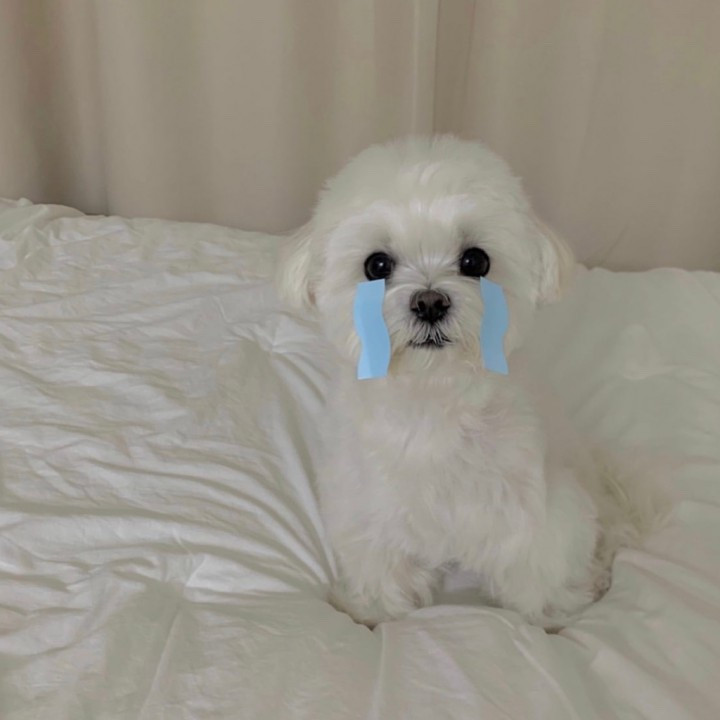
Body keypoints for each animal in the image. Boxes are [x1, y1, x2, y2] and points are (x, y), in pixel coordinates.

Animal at [277, 135, 658, 629]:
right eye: (376, 265)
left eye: (476, 260)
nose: (430, 302)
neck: (433, 397)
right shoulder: (370, 506)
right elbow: (378, 560)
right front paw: (370, 610)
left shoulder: (534, 508)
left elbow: (540, 560)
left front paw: (549, 617)